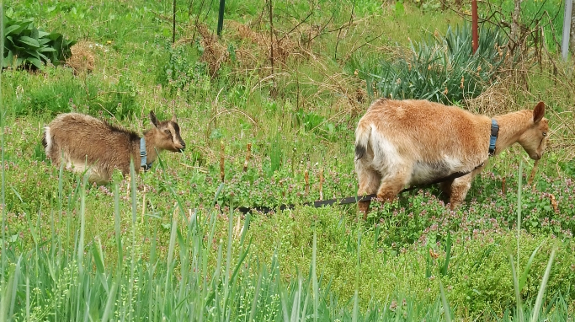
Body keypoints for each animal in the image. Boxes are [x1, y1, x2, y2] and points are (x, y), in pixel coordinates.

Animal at [44, 112, 187, 184]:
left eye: (179, 129)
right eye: (167, 131)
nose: (182, 145)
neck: (134, 149)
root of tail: (50, 128)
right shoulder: (117, 171)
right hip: (59, 158)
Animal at [356, 98, 548, 216]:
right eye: (544, 133)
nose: (539, 155)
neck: (488, 134)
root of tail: (368, 123)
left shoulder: (448, 174)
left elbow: (446, 194)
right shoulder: (465, 173)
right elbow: (456, 200)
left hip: (367, 166)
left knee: (363, 196)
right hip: (397, 167)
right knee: (384, 196)